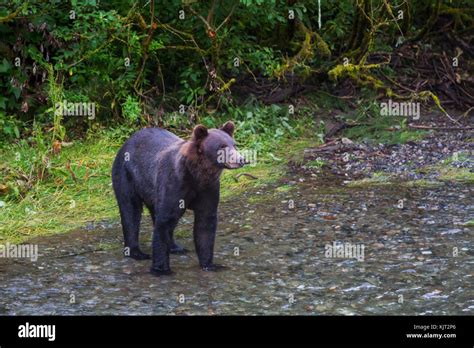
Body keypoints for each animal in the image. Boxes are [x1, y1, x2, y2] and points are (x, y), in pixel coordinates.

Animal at [111, 121, 244, 276]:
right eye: (221, 146)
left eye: (234, 144)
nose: (241, 159)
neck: (196, 174)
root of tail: (127, 141)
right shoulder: (174, 182)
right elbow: (164, 220)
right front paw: (161, 269)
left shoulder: (208, 189)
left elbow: (205, 223)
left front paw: (210, 264)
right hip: (127, 175)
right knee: (130, 211)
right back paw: (136, 252)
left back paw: (175, 247)